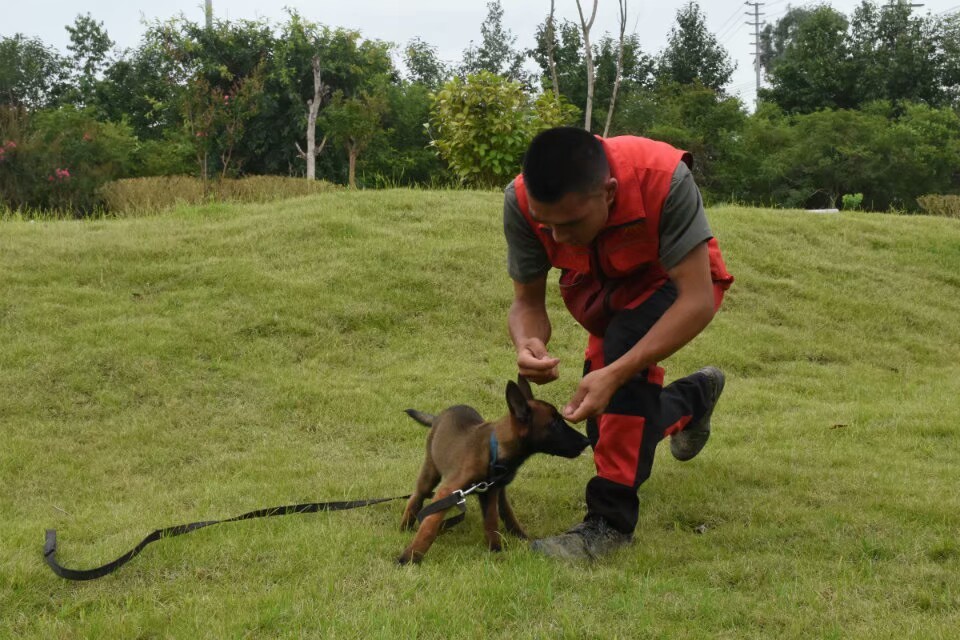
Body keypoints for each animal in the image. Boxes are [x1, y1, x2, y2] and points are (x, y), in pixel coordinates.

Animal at [396, 376, 588, 564]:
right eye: (555, 423)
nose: (586, 441)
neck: (495, 450)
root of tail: (438, 417)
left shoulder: (490, 491)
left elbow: (491, 521)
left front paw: (495, 549)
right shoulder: (450, 491)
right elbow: (430, 525)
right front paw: (410, 556)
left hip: (498, 489)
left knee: (505, 511)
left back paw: (519, 534)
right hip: (430, 471)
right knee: (416, 497)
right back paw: (405, 527)